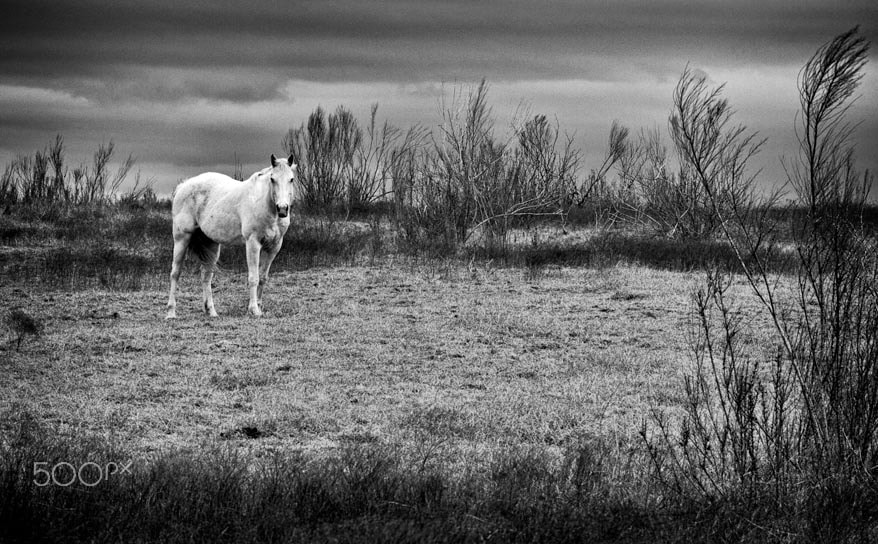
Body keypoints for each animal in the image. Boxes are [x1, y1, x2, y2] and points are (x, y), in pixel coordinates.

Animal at [166, 154, 299, 318]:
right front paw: (254, 309)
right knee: (175, 273)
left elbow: (263, 278)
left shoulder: (274, 247)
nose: (282, 209)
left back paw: (211, 311)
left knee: (206, 276)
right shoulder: (253, 243)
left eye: (291, 179)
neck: (264, 204)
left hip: (211, 244)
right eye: (272, 179)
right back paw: (171, 312)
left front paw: (259, 307)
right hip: (181, 239)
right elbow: (253, 278)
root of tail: (183, 186)